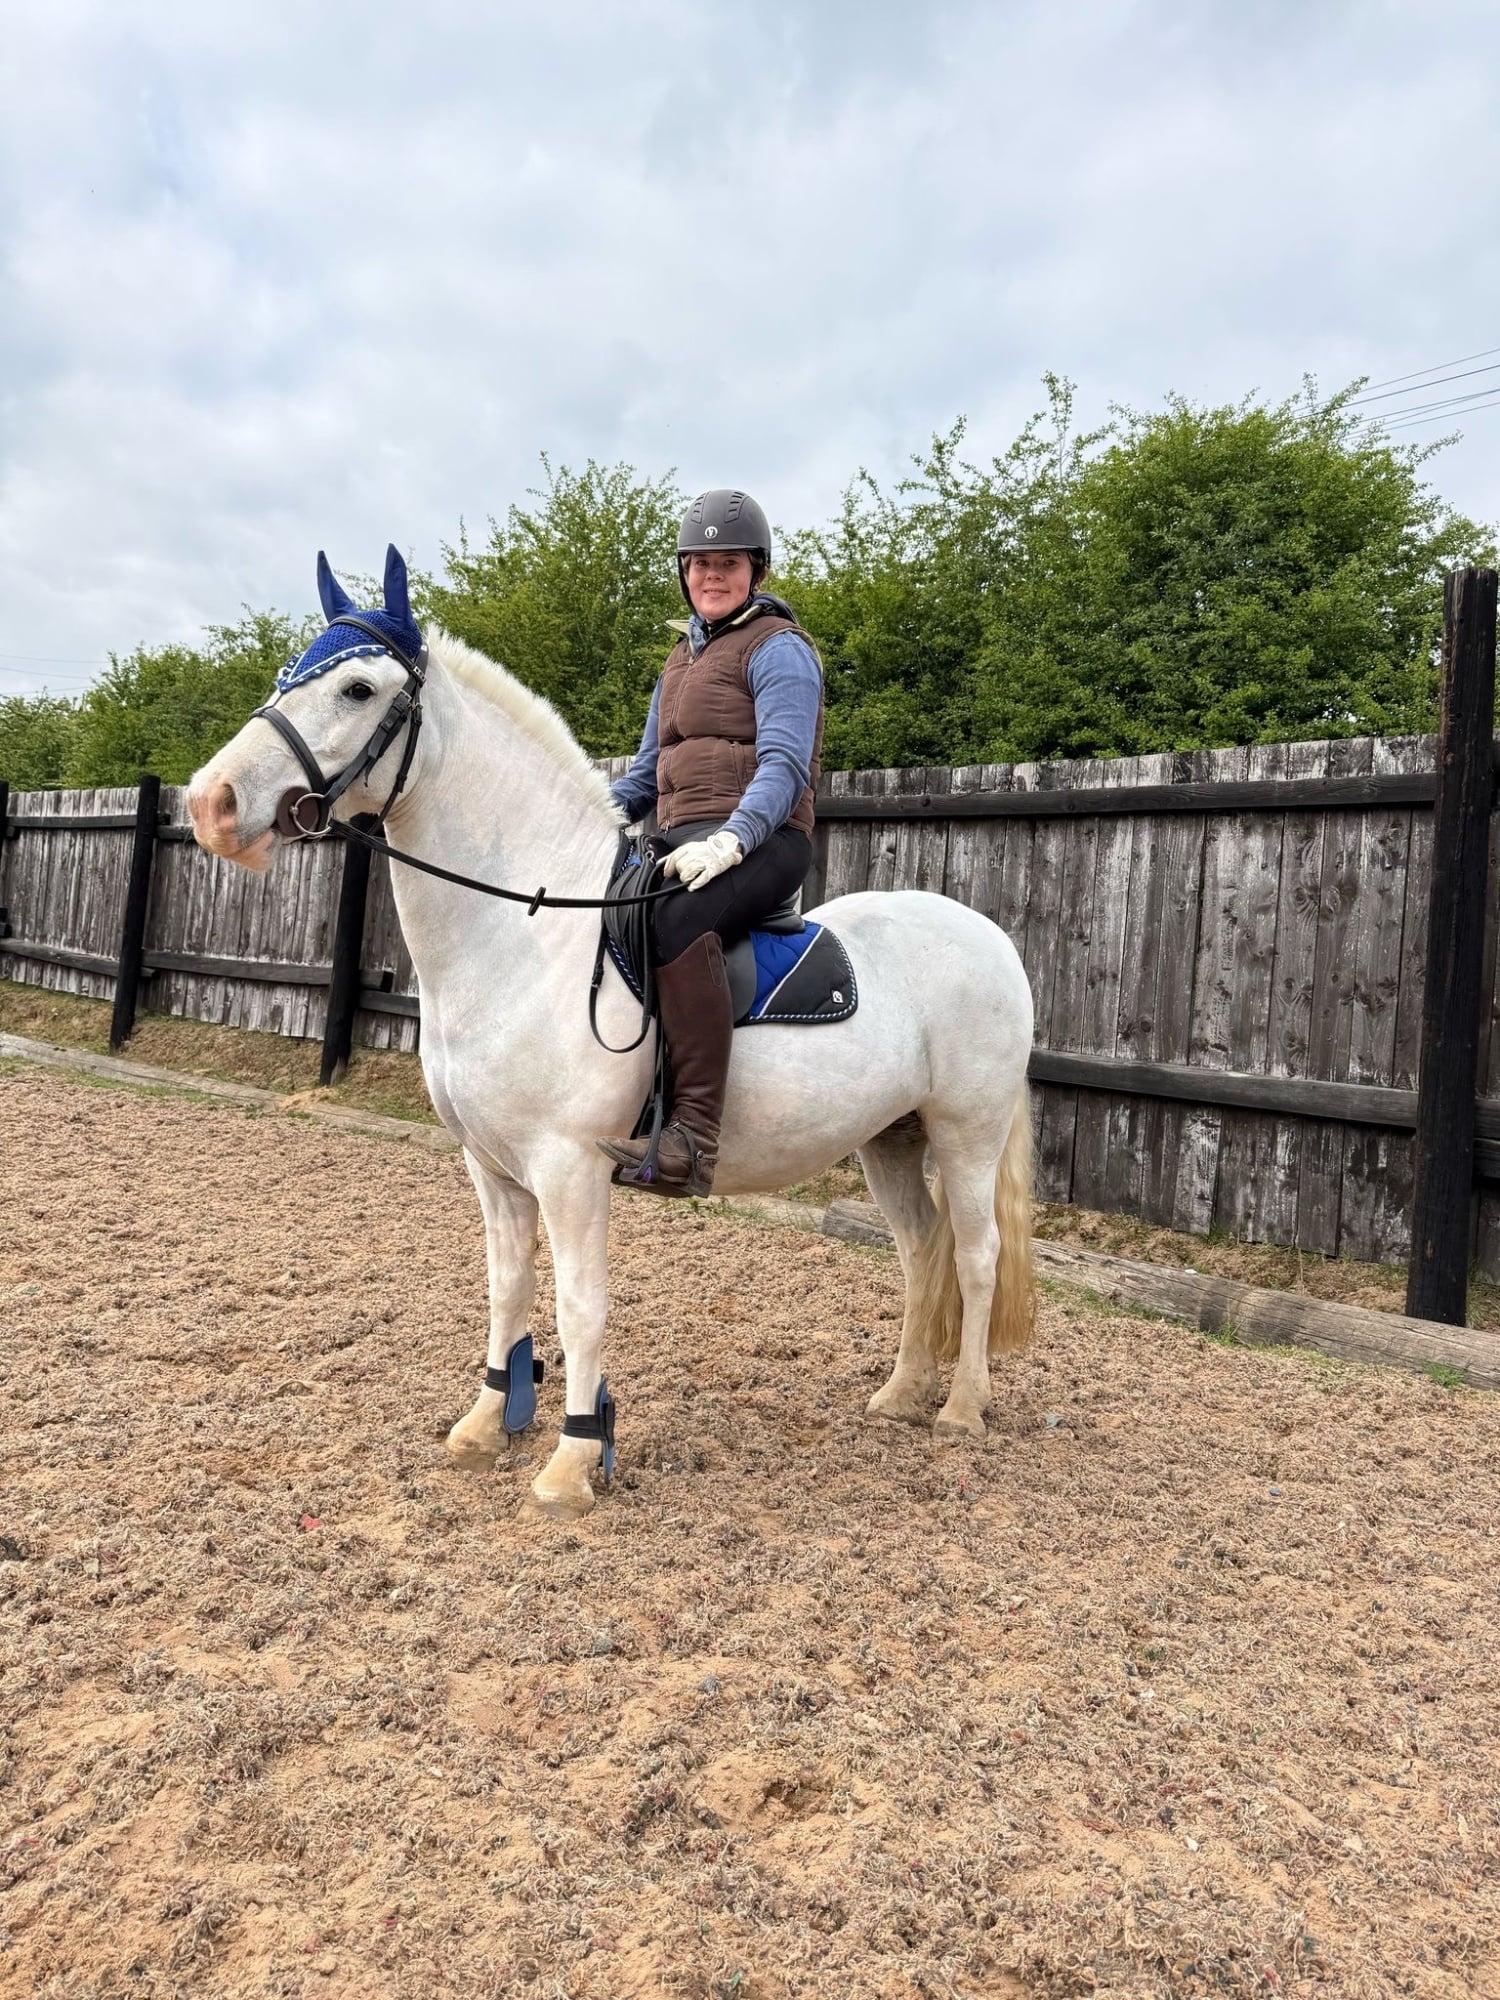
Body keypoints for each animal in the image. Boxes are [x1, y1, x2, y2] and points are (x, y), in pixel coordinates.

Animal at [187, 548, 1036, 1519]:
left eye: (358, 689)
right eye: (286, 675)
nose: (211, 803)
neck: (527, 930)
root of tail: (988, 934)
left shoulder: (571, 1168)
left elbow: (581, 1304)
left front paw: (572, 1461)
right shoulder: (491, 1166)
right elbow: (508, 1287)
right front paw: (487, 1423)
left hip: (967, 1132)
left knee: (976, 1254)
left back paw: (962, 1407)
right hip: (890, 1139)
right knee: (922, 1250)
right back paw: (900, 1393)